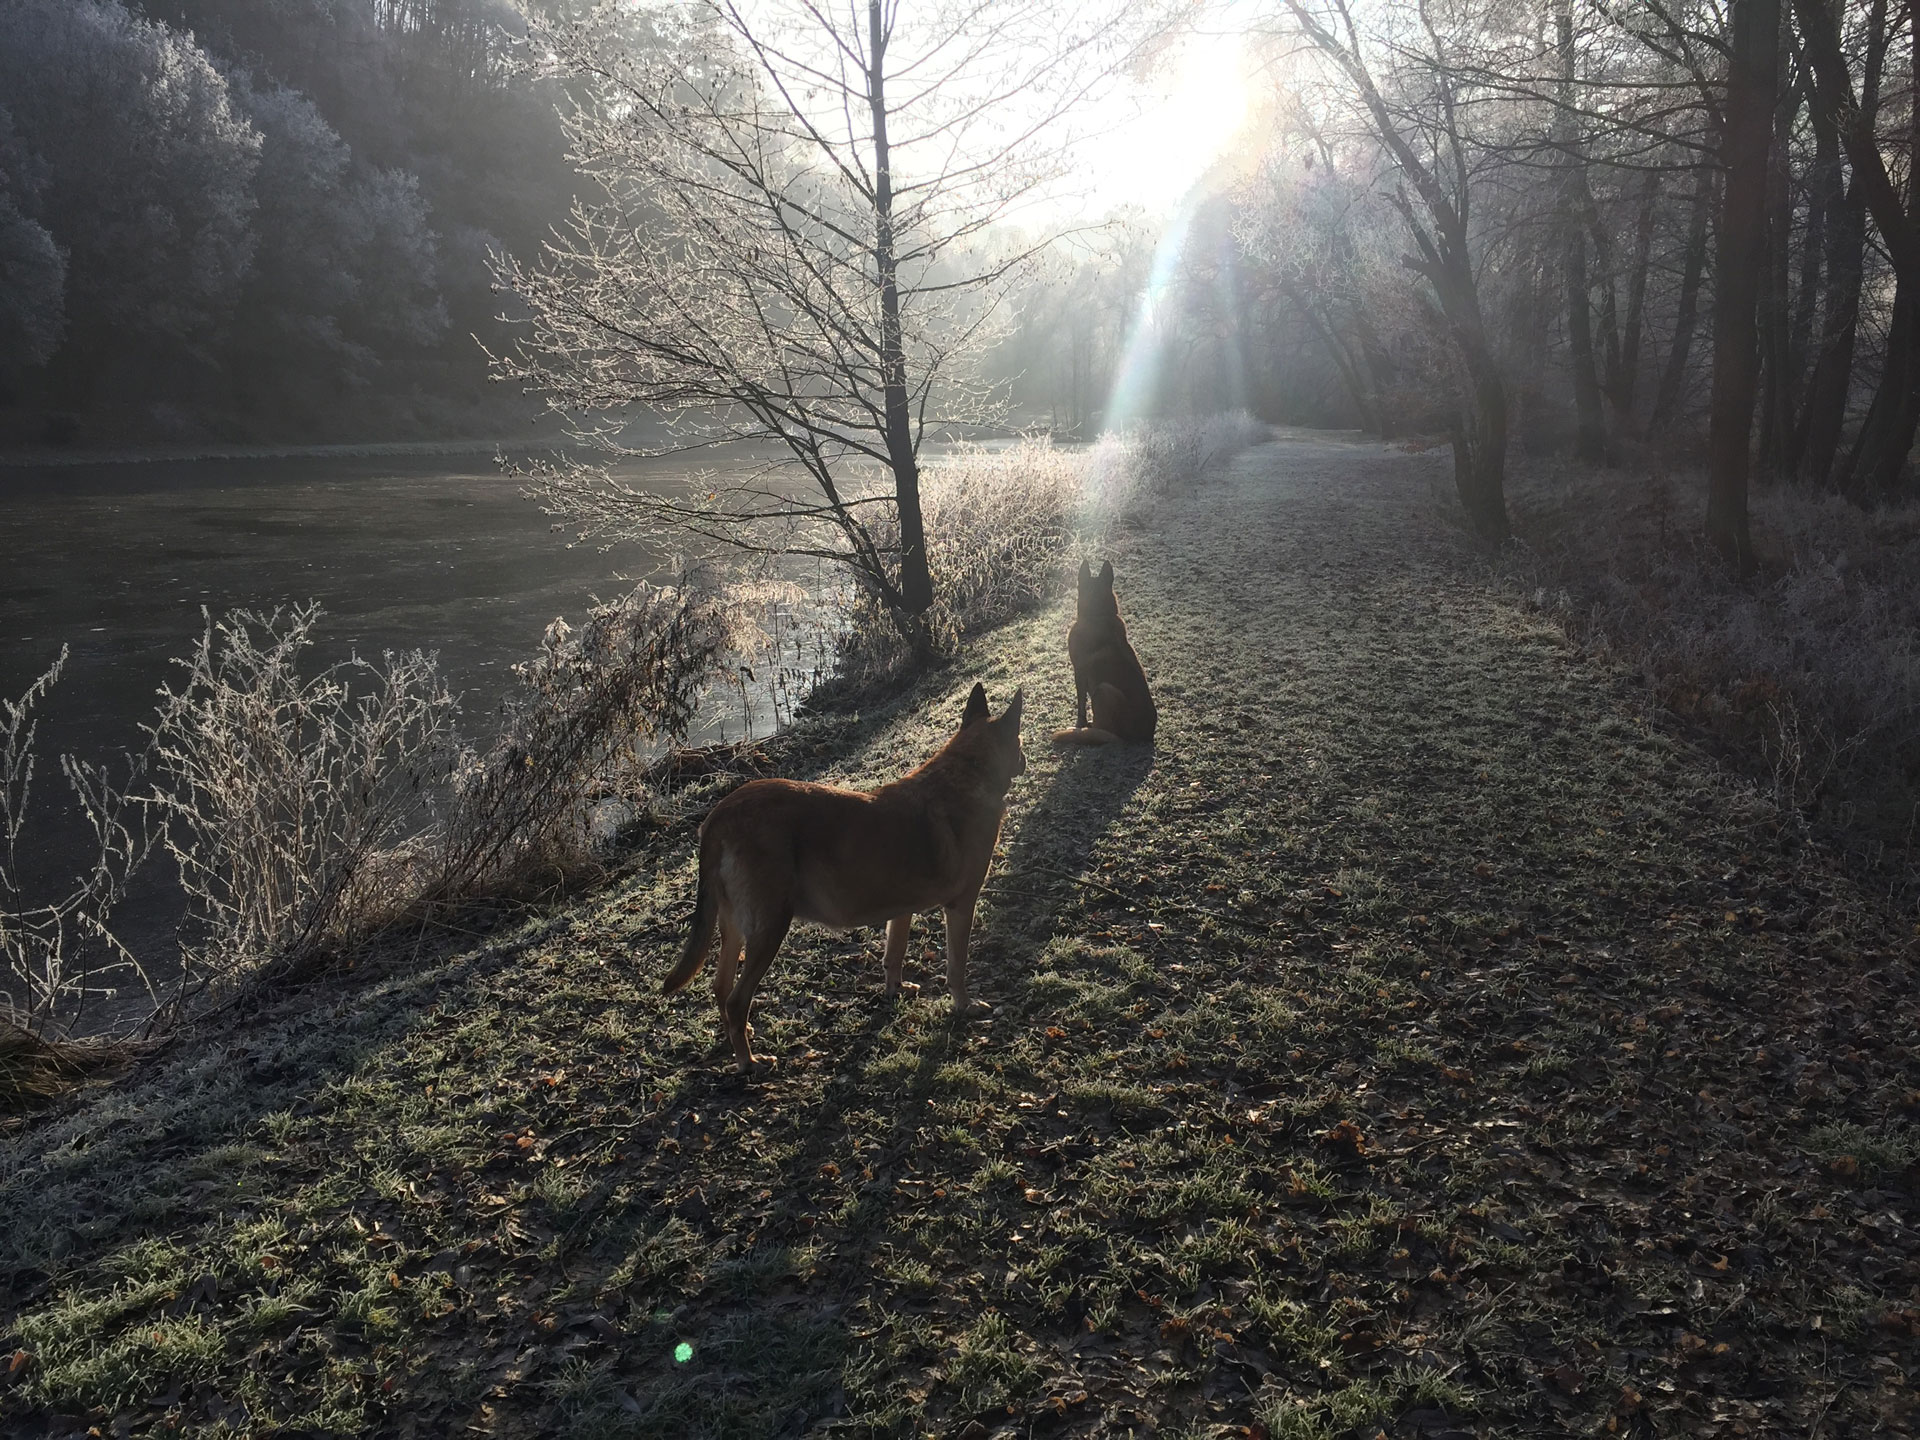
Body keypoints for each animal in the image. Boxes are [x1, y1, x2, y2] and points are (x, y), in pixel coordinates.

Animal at [664, 683, 1029, 1075]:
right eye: (1020, 741)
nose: (1024, 760)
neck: (966, 768)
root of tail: (722, 814)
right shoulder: (961, 906)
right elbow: (957, 966)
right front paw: (964, 1005)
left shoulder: (902, 908)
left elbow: (894, 953)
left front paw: (896, 989)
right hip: (769, 927)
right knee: (735, 999)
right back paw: (749, 1061)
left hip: (732, 925)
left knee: (721, 988)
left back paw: (740, 1036)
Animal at [1052, 556, 1152, 748]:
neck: (1098, 615)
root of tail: (1144, 736)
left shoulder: (1079, 671)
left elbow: (1081, 704)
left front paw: (1080, 724)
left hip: (1104, 690)